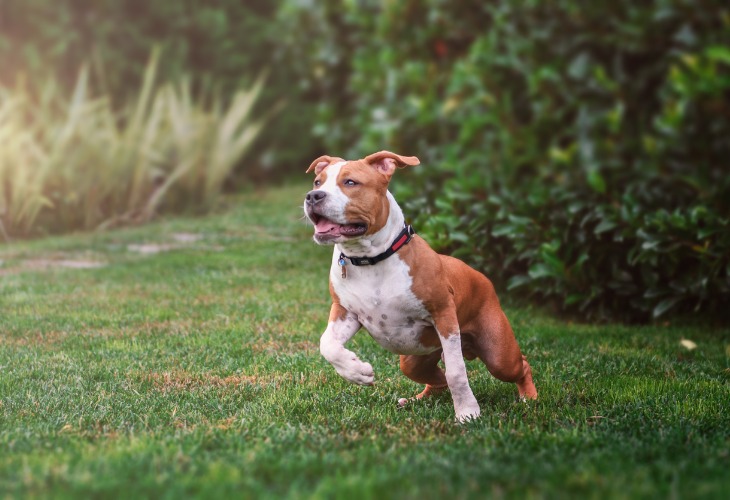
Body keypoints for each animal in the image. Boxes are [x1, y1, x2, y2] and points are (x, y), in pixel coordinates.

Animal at [302, 150, 536, 420]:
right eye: (317, 182)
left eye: (350, 182)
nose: (313, 196)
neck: (371, 259)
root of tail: (482, 277)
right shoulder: (345, 312)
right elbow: (327, 344)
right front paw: (357, 372)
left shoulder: (443, 315)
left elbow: (456, 372)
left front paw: (467, 412)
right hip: (414, 360)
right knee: (437, 379)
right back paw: (416, 400)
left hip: (498, 355)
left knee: (519, 365)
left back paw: (529, 398)